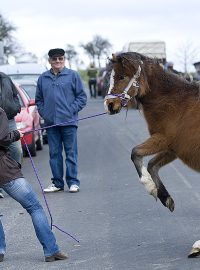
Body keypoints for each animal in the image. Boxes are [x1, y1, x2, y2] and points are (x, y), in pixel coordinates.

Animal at [104, 51, 200, 258]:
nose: (109, 105)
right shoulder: (172, 149)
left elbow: (135, 153)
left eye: (122, 76)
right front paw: (163, 196)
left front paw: (149, 186)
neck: (175, 102)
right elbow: (150, 165)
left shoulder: (162, 140)